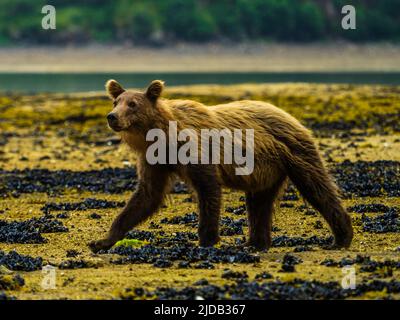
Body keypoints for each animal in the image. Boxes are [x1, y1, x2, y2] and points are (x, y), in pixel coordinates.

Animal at [88, 79, 354, 252]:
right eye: (116, 101)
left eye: (132, 104)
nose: (112, 116)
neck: (162, 137)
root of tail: (289, 115)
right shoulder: (155, 160)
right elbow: (146, 195)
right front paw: (102, 241)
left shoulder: (194, 149)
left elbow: (208, 189)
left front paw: (206, 239)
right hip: (266, 170)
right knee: (259, 202)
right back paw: (255, 243)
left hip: (294, 152)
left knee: (316, 186)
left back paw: (341, 237)